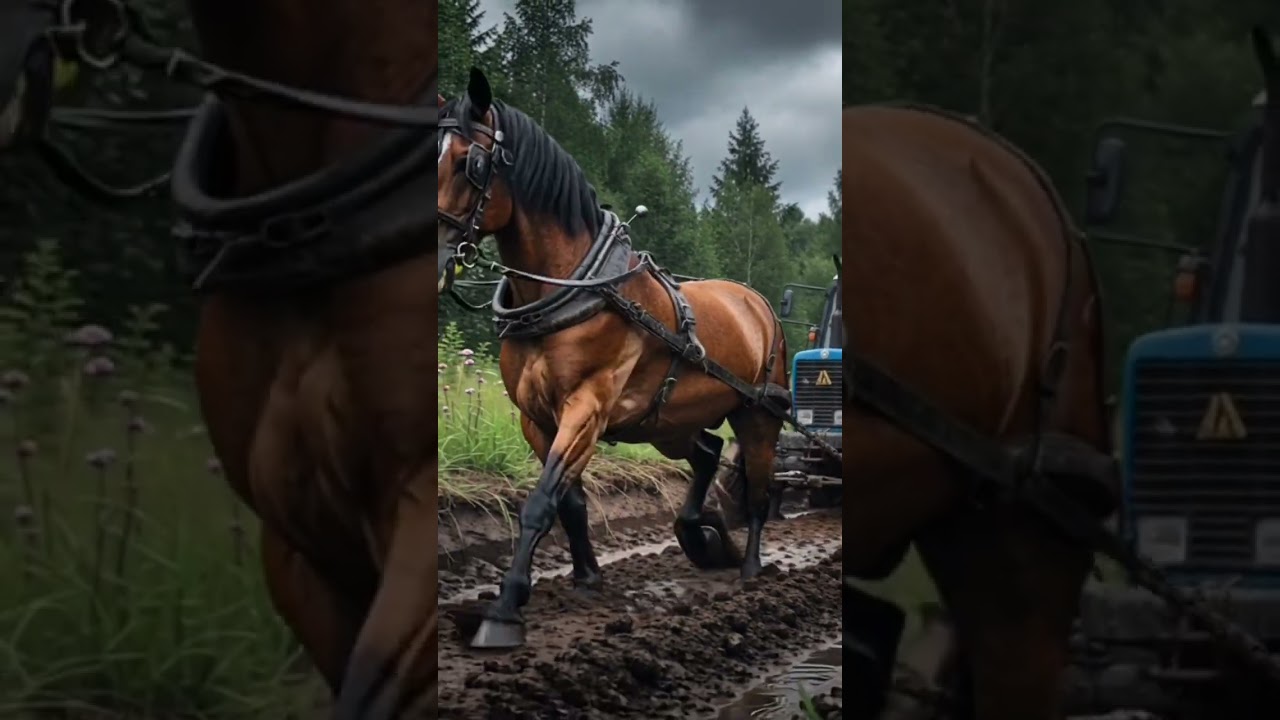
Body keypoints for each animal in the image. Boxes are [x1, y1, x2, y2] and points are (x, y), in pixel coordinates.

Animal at [436, 68, 793, 649]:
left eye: (472, 162)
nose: (437, 255)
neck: (569, 289)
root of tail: (758, 304)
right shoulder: (535, 417)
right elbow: (569, 501)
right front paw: (586, 577)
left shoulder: (588, 407)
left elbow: (540, 502)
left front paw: (504, 610)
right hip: (668, 421)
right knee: (708, 453)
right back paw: (698, 533)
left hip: (759, 416)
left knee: (760, 491)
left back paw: (751, 569)